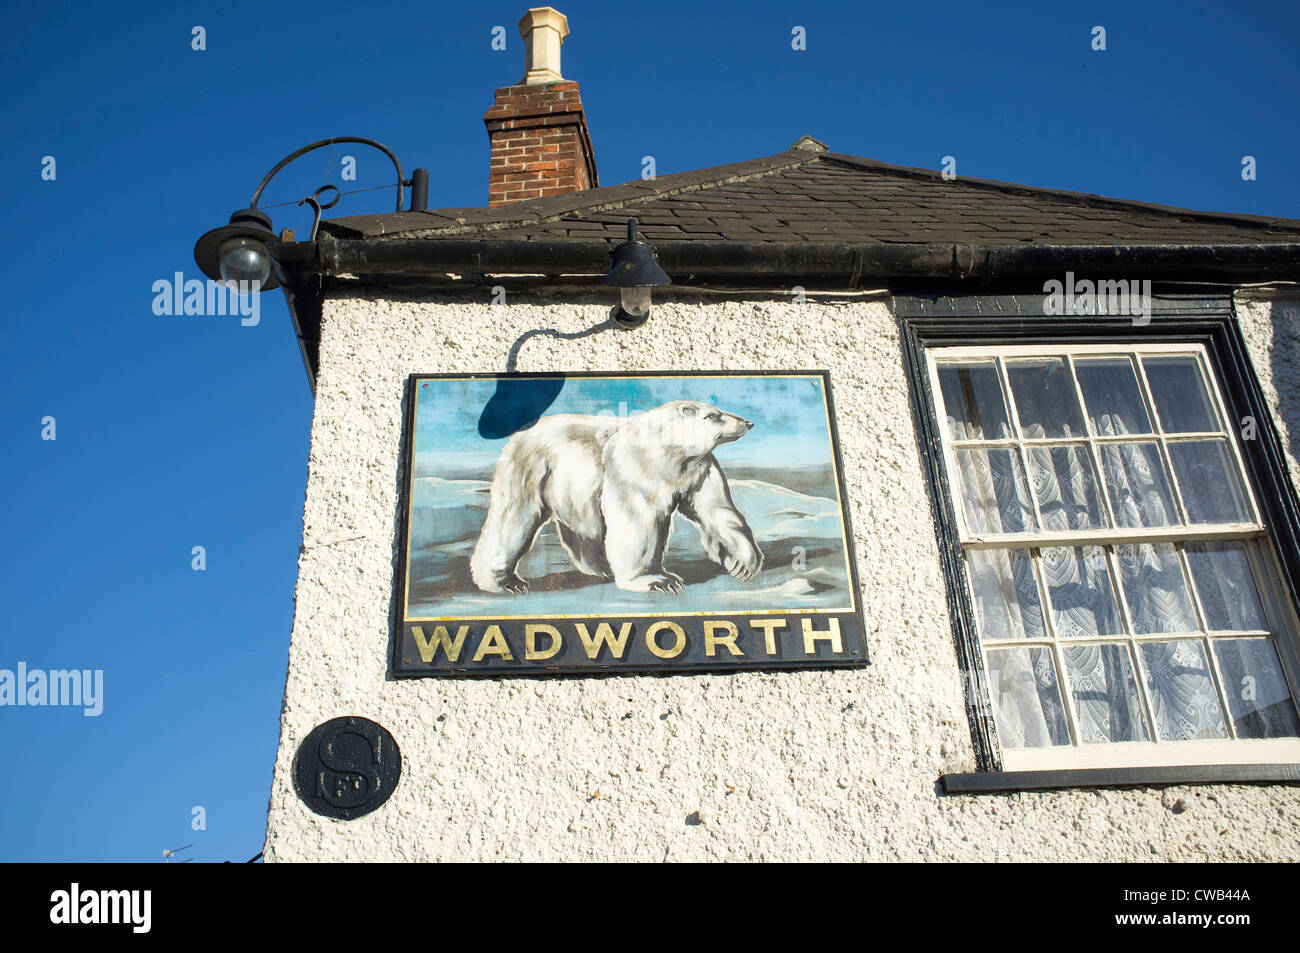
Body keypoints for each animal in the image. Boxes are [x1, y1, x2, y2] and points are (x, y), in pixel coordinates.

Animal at [475, 400, 759, 595]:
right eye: (713, 416)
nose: (748, 423)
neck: (671, 453)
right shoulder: (636, 468)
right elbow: (637, 522)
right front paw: (658, 580)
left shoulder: (699, 469)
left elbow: (717, 509)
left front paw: (744, 563)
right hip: (529, 469)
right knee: (513, 519)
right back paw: (505, 582)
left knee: (584, 530)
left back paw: (600, 568)